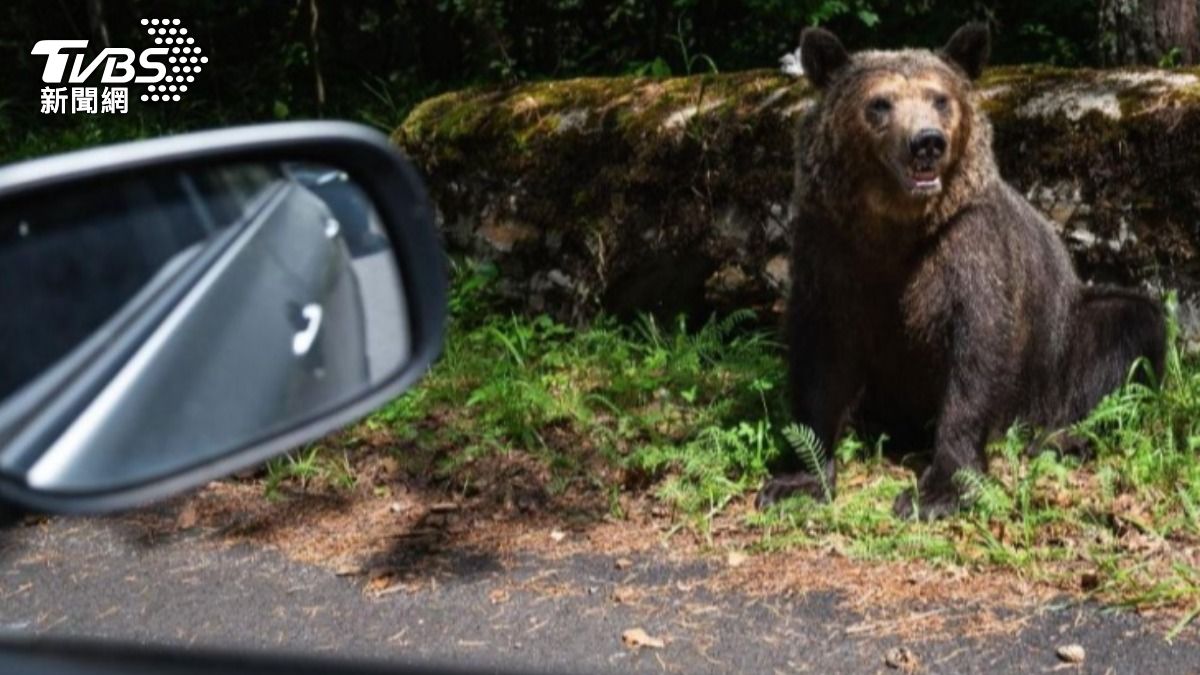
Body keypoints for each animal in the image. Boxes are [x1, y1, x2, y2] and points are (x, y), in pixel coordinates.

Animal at [756, 23, 1167, 519]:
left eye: (940, 98)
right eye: (880, 102)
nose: (927, 142)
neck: (894, 227)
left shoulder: (967, 246)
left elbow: (976, 352)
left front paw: (939, 490)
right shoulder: (832, 246)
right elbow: (821, 355)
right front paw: (797, 479)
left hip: (1058, 350)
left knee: (1126, 326)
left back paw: (1060, 439)